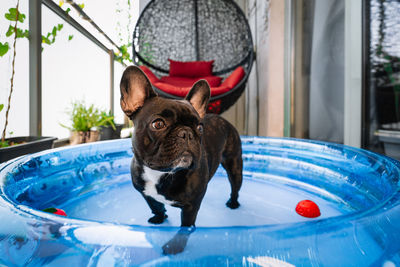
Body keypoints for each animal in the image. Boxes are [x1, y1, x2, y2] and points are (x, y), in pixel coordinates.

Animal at [120, 65, 242, 255]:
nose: (187, 134)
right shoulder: (145, 193)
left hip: (234, 165)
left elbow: (185, 228)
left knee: (235, 185)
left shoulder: (191, 207)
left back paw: (233, 203)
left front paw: (175, 246)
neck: (160, 174)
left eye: (199, 127)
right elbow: (155, 205)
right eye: (158, 124)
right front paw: (159, 217)